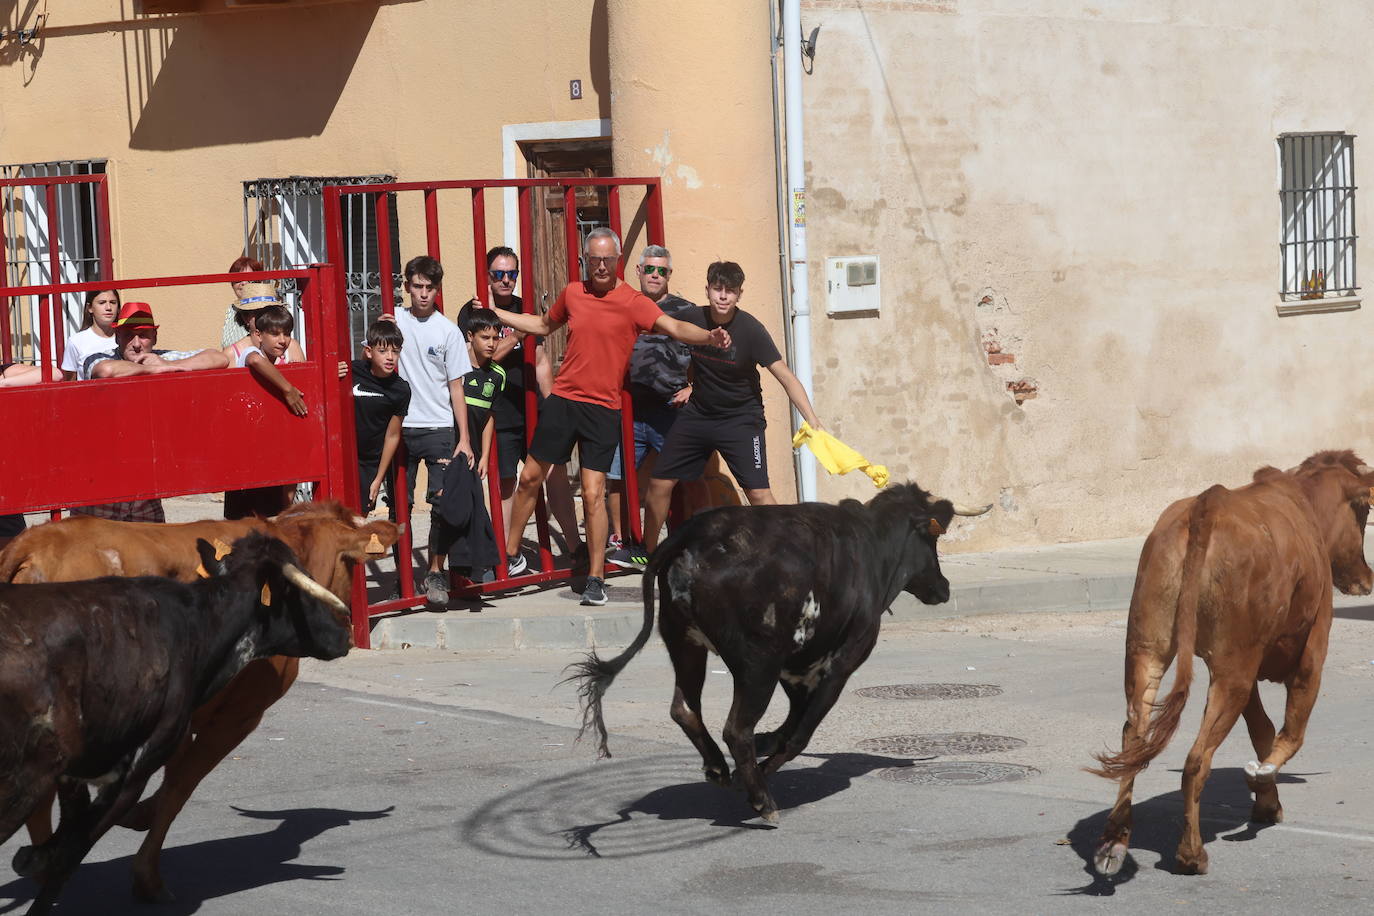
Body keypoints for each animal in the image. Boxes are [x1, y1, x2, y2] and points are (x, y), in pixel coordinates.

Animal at [0, 502, 401, 900]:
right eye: (351, 566)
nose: (343, 629)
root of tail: (34, 542)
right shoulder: (239, 715)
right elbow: (181, 784)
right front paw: (147, 874)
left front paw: (139, 818)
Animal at [568, 486, 989, 823]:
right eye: (933, 542)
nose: (943, 587)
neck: (871, 545)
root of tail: (694, 534)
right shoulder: (842, 663)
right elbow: (800, 734)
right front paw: (761, 767)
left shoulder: (797, 668)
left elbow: (791, 723)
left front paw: (762, 749)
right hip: (757, 664)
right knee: (735, 729)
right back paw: (762, 800)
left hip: (684, 642)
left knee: (685, 709)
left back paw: (719, 769)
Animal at [1088, 450, 1368, 873]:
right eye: (1364, 511)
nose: (1367, 579)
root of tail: (1208, 504)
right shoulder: (1312, 651)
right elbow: (1290, 733)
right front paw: (1262, 780)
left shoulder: (1247, 669)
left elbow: (1262, 730)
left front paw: (1266, 800)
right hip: (1232, 670)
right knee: (1197, 759)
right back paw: (1191, 853)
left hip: (1148, 648)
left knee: (1133, 736)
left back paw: (1114, 842)